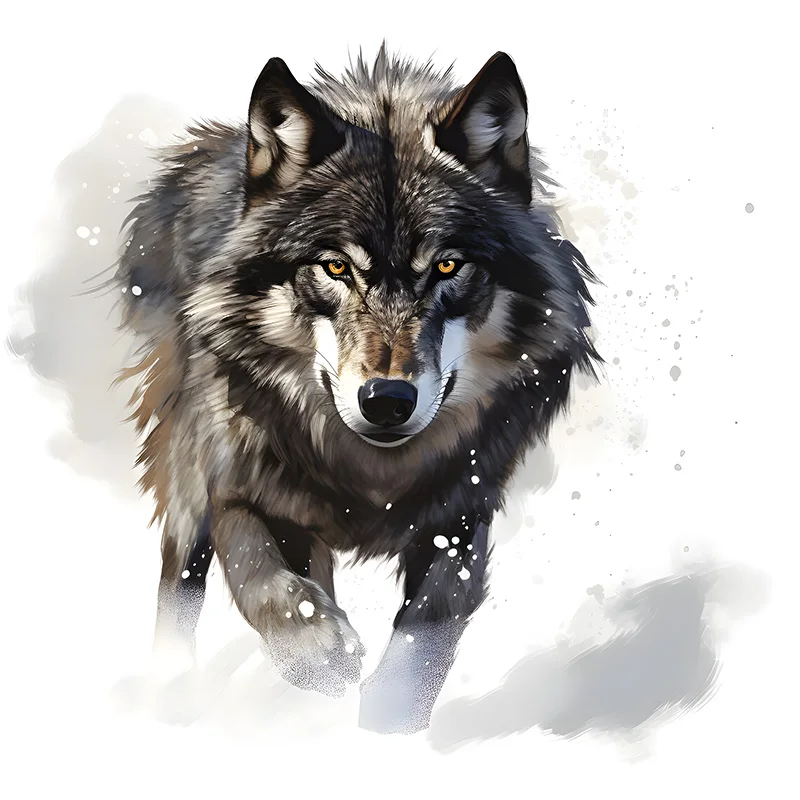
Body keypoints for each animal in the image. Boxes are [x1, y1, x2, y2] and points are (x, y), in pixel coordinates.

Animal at [113, 46, 599, 734]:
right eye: (336, 266)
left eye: (448, 266)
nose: (387, 401)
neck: (369, 474)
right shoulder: (232, 480)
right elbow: (257, 572)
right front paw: (316, 653)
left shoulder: (463, 511)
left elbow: (428, 628)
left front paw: (388, 717)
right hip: (185, 473)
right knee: (179, 584)